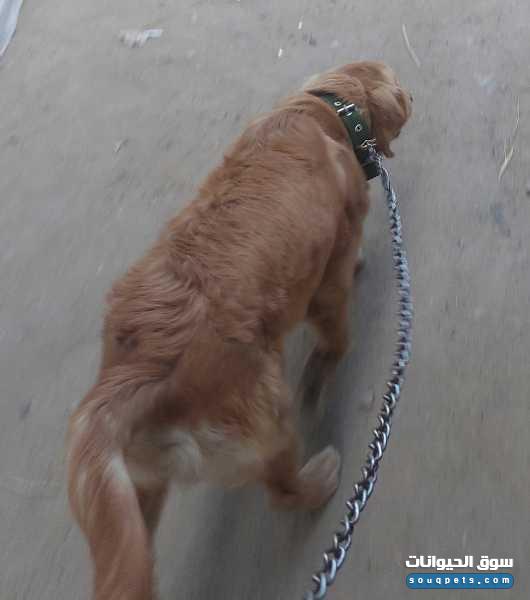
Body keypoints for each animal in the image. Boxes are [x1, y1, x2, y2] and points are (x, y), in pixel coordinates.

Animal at [67, 61, 411, 600]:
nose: (412, 96)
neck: (324, 113)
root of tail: (128, 374)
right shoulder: (327, 281)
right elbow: (335, 333)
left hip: (136, 492)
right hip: (267, 414)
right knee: (283, 492)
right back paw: (320, 479)